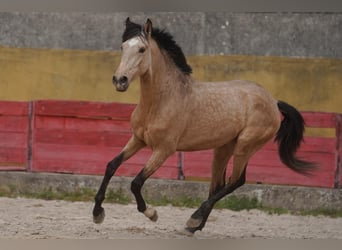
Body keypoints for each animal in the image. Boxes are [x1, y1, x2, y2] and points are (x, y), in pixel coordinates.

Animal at [91, 18, 316, 234]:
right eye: (122, 47)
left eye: (142, 49)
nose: (119, 80)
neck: (161, 101)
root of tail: (273, 101)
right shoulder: (138, 139)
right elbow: (111, 165)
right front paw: (97, 214)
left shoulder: (164, 150)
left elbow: (136, 182)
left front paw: (152, 214)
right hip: (223, 148)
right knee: (219, 185)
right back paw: (193, 227)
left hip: (245, 146)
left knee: (236, 182)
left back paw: (194, 218)